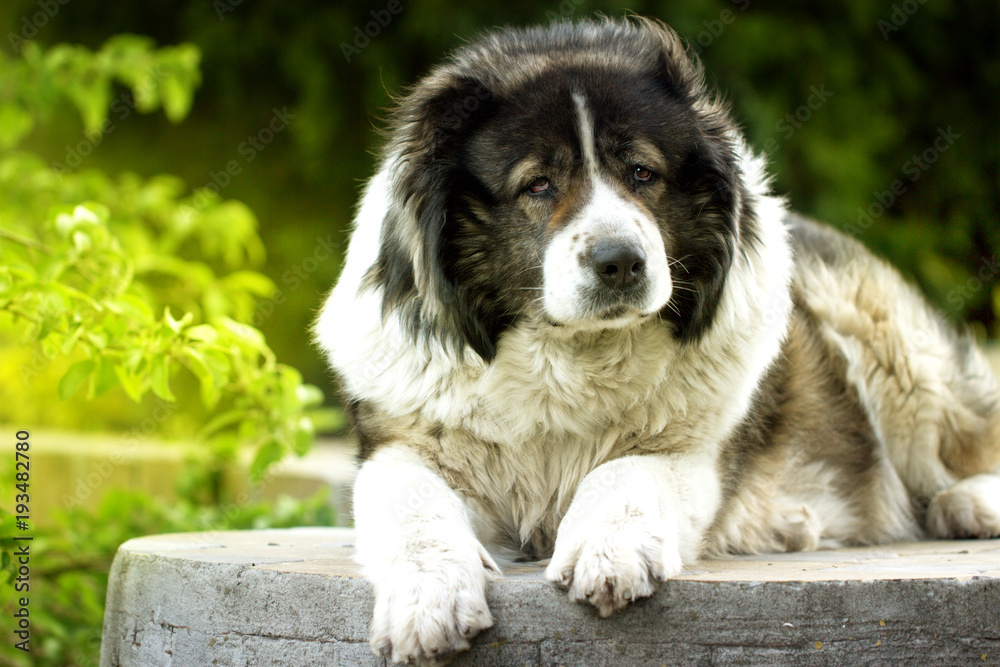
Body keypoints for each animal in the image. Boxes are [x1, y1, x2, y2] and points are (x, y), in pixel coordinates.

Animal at [316, 18, 1000, 664]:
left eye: (642, 173)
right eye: (538, 185)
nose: (620, 261)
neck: (569, 359)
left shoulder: (692, 454)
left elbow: (624, 469)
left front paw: (608, 550)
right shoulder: (400, 446)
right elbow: (412, 505)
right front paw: (426, 601)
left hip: (889, 346)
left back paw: (967, 504)